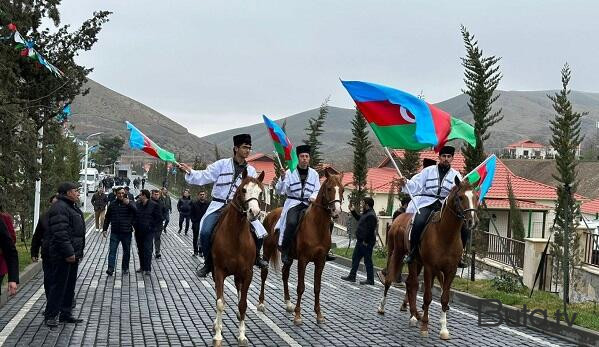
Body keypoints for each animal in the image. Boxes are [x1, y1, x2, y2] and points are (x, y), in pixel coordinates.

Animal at [212, 170, 266, 346]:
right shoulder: (219, 271)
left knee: (239, 291)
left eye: (261, 192)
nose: (254, 213)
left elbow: (243, 304)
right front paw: (218, 335)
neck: (235, 236)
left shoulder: (247, 273)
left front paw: (242, 335)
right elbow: (220, 302)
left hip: (239, 275)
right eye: (243, 189)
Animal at [256, 171, 342, 326]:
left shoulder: (320, 262)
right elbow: (301, 287)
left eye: (343, 190)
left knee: (285, 274)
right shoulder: (303, 260)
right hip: (267, 249)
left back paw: (288, 303)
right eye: (329, 189)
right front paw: (298, 315)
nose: (336, 211)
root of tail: (270, 213)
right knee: (264, 273)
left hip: (289, 257)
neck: (317, 226)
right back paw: (261, 303)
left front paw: (319, 314)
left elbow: (317, 287)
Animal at [380, 178, 478, 342]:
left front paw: (444, 329)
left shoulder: (450, 270)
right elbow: (427, 297)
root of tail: (399, 218)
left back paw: (414, 315)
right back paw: (383, 307)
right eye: (460, 197)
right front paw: (425, 327)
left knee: (411, 284)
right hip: (396, 254)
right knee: (390, 279)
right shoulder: (430, 267)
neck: (445, 235)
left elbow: (444, 298)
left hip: (415, 262)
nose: (472, 222)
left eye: (476, 197)